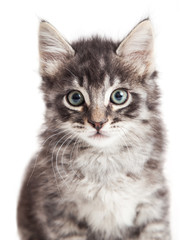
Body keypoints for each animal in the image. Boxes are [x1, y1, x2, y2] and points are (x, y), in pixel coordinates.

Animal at [17, 19, 171, 240]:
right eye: (75, 98)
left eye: (119, 96)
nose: (98, 123)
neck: (104, 159)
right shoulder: (60, 211)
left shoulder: (153, 205)